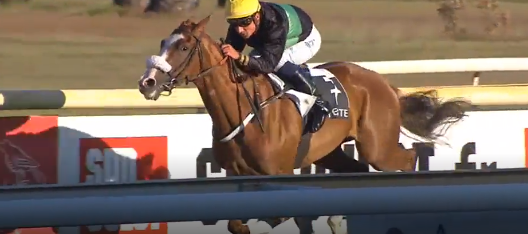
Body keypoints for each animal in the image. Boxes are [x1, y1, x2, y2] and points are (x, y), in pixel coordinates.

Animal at [137, 16, 470, 234]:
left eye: (182, 48)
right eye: (163, 42)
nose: (147, 82)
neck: (245, 109)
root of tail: (385, 83)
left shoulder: (278, 175)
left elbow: (281, 217)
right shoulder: (239, 176)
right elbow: (237, 223)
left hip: (378, 147)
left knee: (407, 158)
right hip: (330, 150)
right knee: (355, 170)